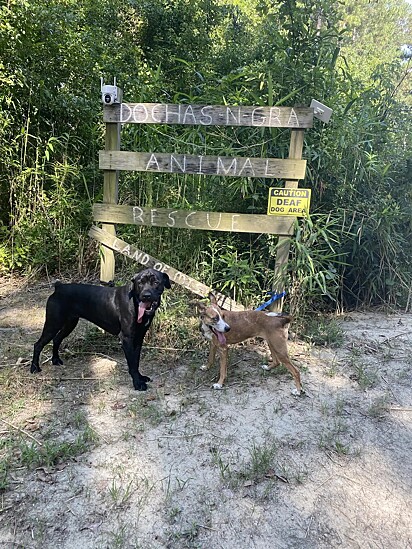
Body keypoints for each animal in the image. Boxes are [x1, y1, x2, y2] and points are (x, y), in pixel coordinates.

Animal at [31, 268, 171, 390]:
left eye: (156, 282)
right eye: (140, 283)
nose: (146, 295)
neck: (135, 302)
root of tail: (59, 287)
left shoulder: (138, 338)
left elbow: (136, 361)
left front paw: (140, 377)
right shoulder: (127, 338)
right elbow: (132, 363)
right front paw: (137, 383)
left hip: (69, 324)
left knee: (56, 339)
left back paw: (55, 360)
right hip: (53, 324)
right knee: (38, 344)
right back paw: (34, 368)